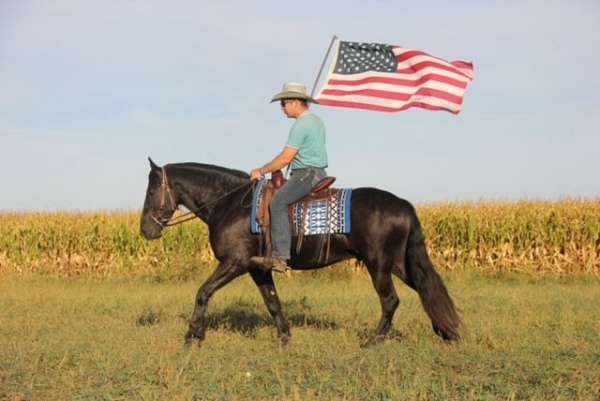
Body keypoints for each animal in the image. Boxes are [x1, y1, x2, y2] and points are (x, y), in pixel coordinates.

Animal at [142, 159, 464, 344]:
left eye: (151, 191)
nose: (146, 230)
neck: (230, 204)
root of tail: (403, 204)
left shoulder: (235, 262)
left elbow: (203, 292)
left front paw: (193, 335)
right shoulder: (257, 268)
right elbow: (273, 302)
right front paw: (284, 337)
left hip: (379, 264)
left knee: (391, 301)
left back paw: (374, 341)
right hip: (400, 263)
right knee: (427, 289)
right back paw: (447, 332)